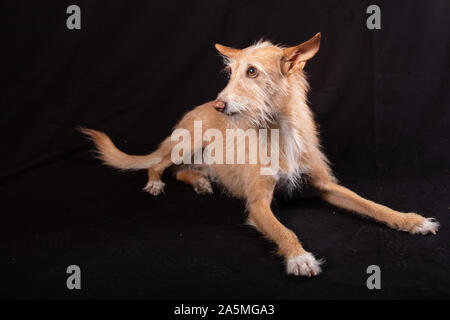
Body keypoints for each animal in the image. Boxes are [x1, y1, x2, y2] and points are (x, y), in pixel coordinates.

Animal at [81, 33, 440, 276]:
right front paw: (299, 257)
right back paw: (156, 183)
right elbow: (284, 230)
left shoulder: (327, 186)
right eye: (231, 74)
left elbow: (371, 204)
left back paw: (201, 183)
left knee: (184, 171)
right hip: (187, 141)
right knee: (157, 164)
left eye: (252, 72)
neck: (278, 129)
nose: (220, 104)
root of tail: (197, 108)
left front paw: (411, 220)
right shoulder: (257, 204)